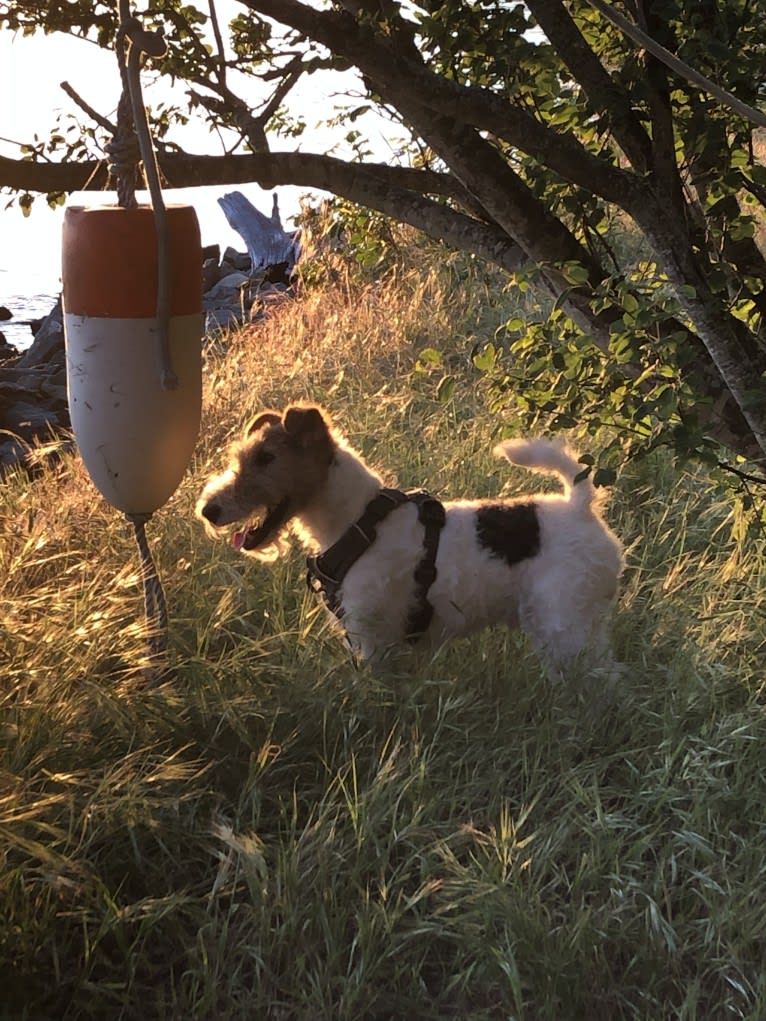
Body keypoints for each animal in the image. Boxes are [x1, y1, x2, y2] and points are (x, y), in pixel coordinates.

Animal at [196, 402, 625, 673]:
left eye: (266, 458)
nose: (208, 510)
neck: (359, 522)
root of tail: (580, 506)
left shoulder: (372, 641)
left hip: (565, 626)